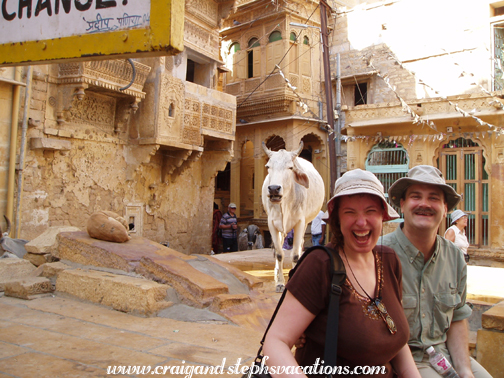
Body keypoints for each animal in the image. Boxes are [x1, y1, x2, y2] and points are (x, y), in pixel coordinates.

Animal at [262, 142, 324, 292]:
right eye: (268, 166)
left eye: (290, 167)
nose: (274, 189)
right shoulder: (272, 223)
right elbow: (279, 253)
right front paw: (280, 283)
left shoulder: (300, 223)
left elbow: (295, 254)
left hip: (306, 223)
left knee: (300, 245)